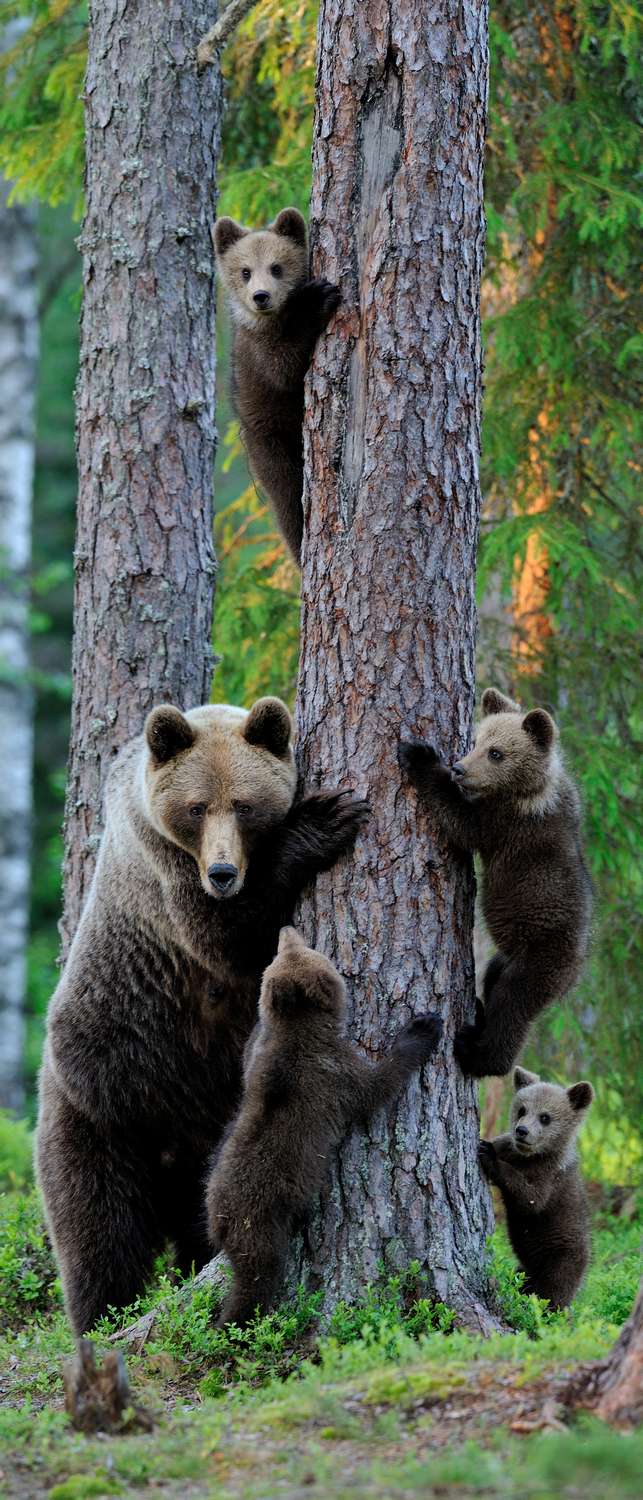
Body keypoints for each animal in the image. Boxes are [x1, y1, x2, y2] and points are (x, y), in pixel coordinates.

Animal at [36, 696, 365, 1332]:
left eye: (244, 804)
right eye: (195, 807)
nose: (222, 872)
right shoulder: (164, 870)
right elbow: (227, 939)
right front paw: (326, 819)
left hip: (210, 1141)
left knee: (196, 1226)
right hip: (101, 1106)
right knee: (98, 1233)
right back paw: (101, 1318)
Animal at [205, 924, 440, 1326]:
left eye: (287, 949)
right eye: (299, 950)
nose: (286, 928)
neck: (299, 1027)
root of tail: (220, 1221)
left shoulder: (259, 1059)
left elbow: (248, 1054)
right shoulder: (334, 1072)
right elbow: (377, 1086)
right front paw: (422, 1029)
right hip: (260, 1224)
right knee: (258, 1277)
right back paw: (241, 1321)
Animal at [211, 207, 340, 564]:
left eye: (276, 266)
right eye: (244, 271)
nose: (261, 296)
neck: (276, 317)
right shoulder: (258, 352)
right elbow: (284, 368)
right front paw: (316, 299)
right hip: (268, 442)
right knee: (288, 501)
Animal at [401, 687, 590, 1086]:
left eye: (497, 752)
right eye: (477, 740)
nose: (459, 768)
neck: (530, 790)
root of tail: (575, 971)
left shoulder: (506, 824)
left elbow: (462, 822)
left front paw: (420, 756)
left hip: (539, 959)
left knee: (513, 1008)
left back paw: (478, 1054)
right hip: (506, 958)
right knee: (492, 979)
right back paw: (476, 1014)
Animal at [479, 1074, 587, 1308]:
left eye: (545, 1117)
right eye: (522, 1109)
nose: (522, 1131)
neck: (530, 1156)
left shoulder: (550, 1177)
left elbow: (531, 1199)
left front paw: (488, 1155)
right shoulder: (509, 1146)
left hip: (562, 1259)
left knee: (553, 1294)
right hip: (526, 1270)